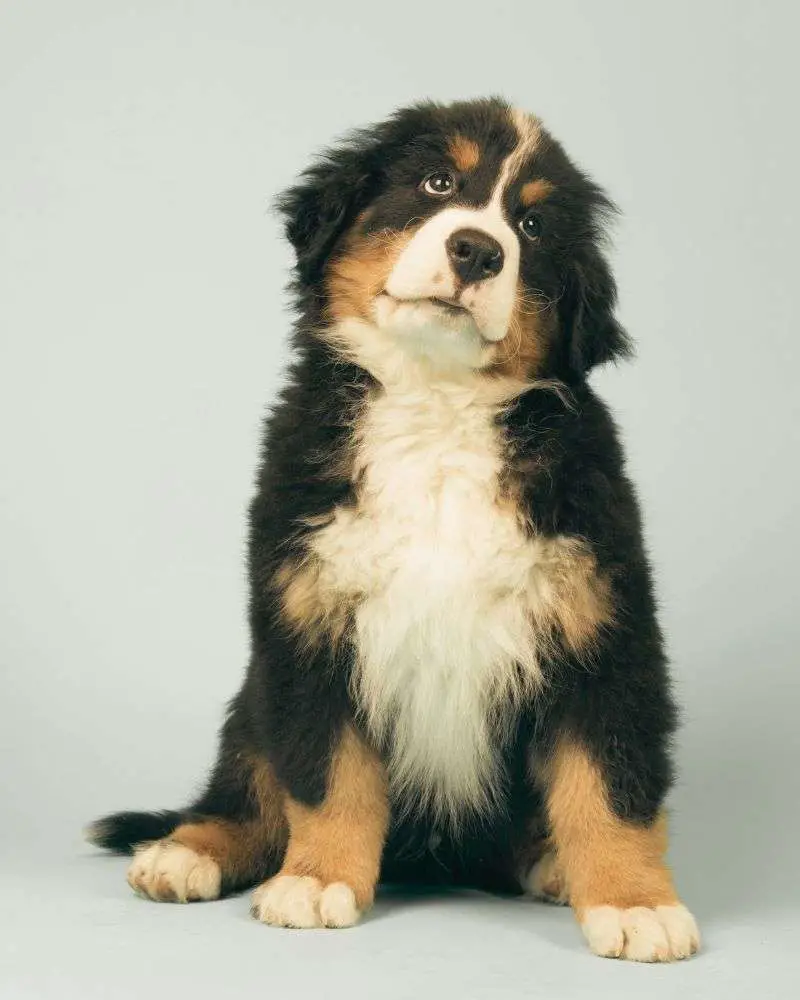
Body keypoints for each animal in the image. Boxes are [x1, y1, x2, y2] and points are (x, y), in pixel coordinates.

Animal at [87, 99, 700, 960]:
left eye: (533, 224)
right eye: (438, 182)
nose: (477, 249)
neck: (434, 411)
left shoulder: (603, 630)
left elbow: (610, 784)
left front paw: (634, 901)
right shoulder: (309, 625)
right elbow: (327, 775)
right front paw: (316, 880)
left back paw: (551, 863)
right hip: (252, 696)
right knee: (246, 785)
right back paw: (188, 851)